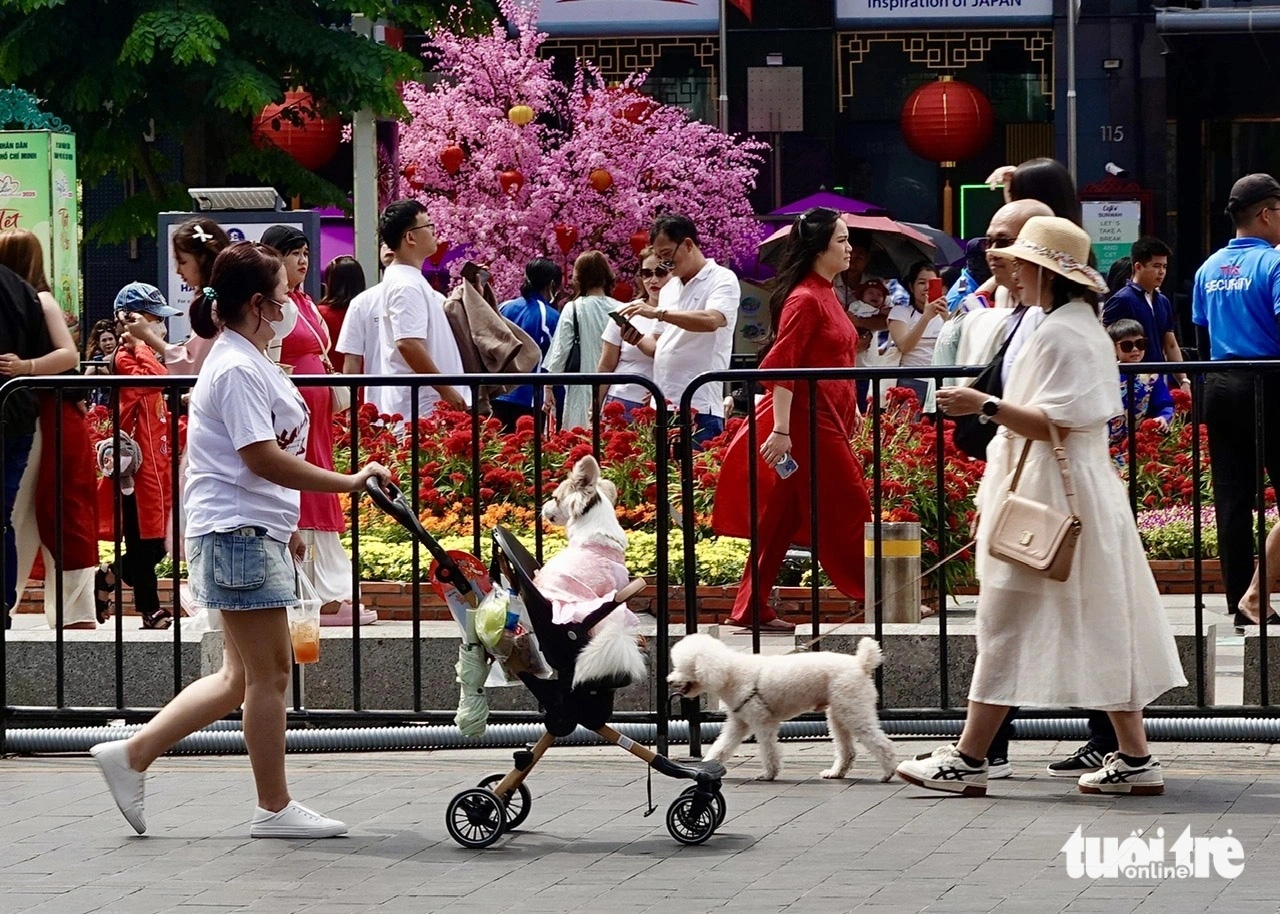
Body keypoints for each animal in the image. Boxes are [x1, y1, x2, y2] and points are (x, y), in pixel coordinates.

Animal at [670, 629, 901, 778]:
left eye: (684, 666)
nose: (669, 680)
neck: (731, 673)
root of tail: (860, 664)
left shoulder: (762, 721)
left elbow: (768, 749)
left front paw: (769, 774)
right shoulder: (739, 722)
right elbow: (722, 746)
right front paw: (707, 766)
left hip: (853, 709)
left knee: (881, 742)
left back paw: (889, 771)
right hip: (839, 713)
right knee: (847, 749)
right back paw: (836, 773)